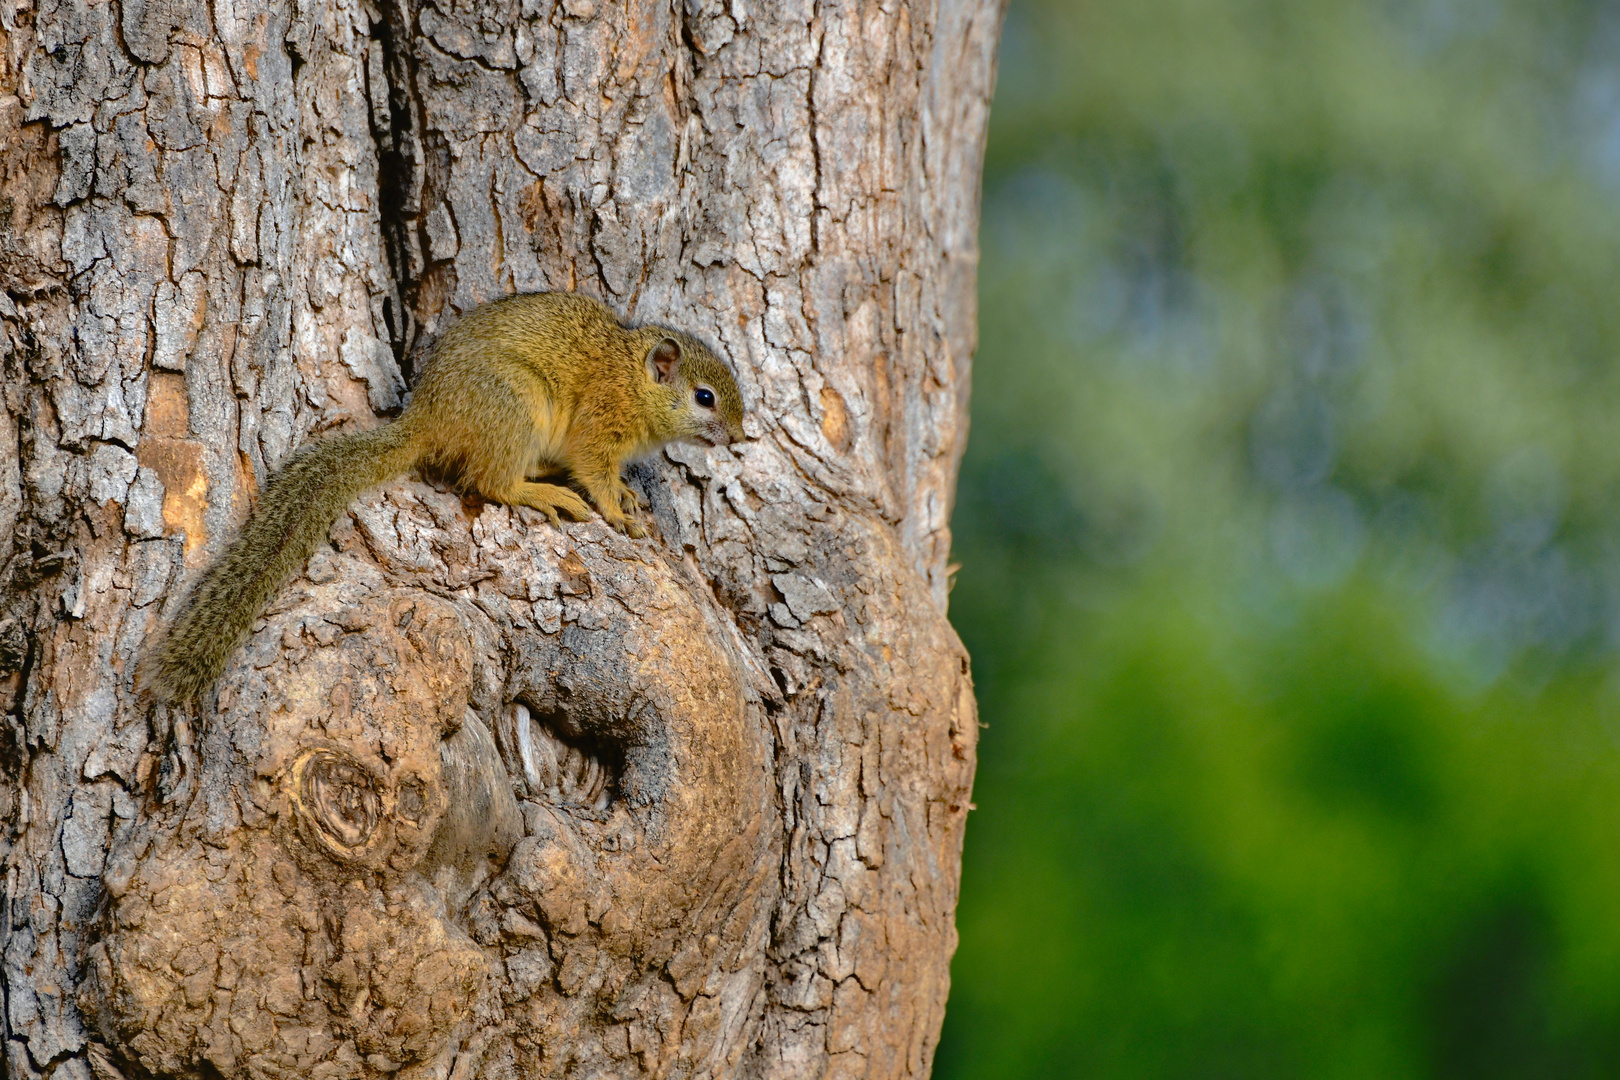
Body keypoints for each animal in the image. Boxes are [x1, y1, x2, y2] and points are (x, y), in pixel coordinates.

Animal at [140, 289, 745, 709]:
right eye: (704, 397)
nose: (739, 438)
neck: (633, 381)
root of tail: (429, 420)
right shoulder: (598, 426)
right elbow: (594, 472)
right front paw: (617, 513)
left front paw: (625, 491)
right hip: (515, 404)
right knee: (493, 483)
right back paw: (544, 492)